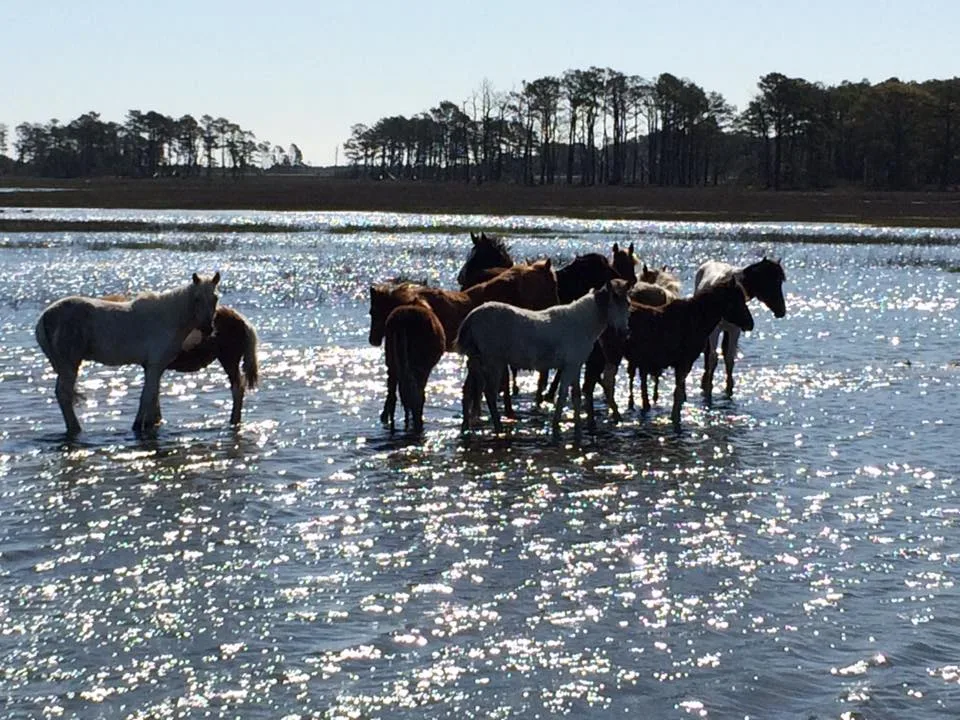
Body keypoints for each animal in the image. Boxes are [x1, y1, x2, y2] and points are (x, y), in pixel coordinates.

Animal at [35, 272, 221, 434]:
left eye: (215, 298)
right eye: (197, 298)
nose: (208, 328)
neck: (168, 317)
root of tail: (45, 316)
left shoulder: (153, 367)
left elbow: (153, 398)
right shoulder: (155, 365)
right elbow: (147, 397)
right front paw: (138, 426)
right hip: (70, 366)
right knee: (64, 395)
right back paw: (76, 428)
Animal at [380, 299, 446, 433]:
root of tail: (402, 320)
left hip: (391, 360)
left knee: (394, 393)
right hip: (419, 364)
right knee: (415, 394)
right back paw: (417, 422)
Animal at [457, 279, 631, 439]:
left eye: (628, 304)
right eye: (615, 303)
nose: (625, 333)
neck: (581, 324)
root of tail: (472, 316)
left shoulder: (575, 366)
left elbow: (575, 396)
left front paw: (577, 431)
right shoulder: (570, 366)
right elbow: (562, 396)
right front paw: (556, 428)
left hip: (476, 360)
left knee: (467, 391)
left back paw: (465, 428)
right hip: (493, 362)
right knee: (490, 393)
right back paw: (499, 429)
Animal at [583, 277, 754, 429]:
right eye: (736, 300)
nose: (750, 324)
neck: (697, 319)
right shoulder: (684, 363)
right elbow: (678, 394)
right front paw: (675, 419)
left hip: (599, 357)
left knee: (589, 386)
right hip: (611, 355)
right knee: (607, 384)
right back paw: (617, 417)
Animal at [695, 258, 786, 400]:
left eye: (780, 281)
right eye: (771, 281)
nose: (781, 311)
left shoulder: (735, 331)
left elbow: (729, 359)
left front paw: (729, 389)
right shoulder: (714, 330)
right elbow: (713, 358)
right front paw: (708, 388)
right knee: (708, 353)